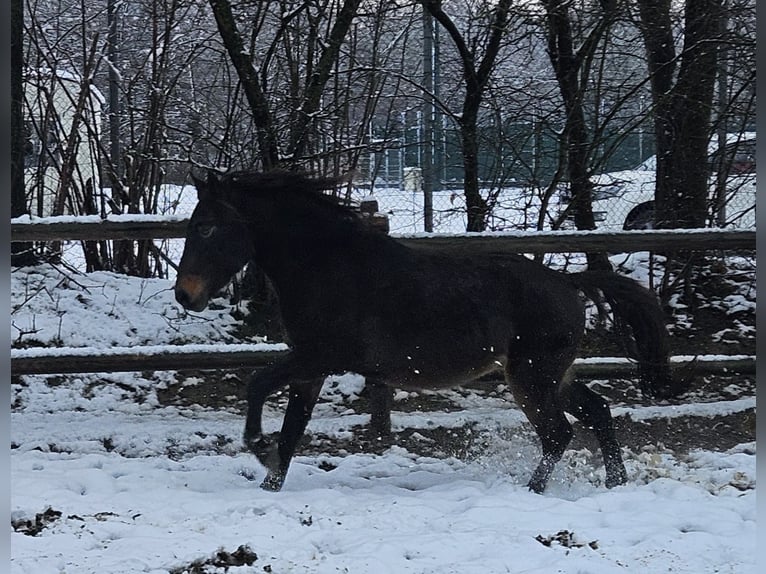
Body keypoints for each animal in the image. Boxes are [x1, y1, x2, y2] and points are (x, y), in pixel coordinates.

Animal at [174, 171, 684, 496]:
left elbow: (258, 385)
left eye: (206, 227)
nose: (185, 295)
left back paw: (533, 491)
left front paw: (260, 452)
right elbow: (293, 427)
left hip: (532, 377)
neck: (328, 267)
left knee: (558, 433)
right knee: (598, 412)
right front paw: (271, 480)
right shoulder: (309, 366)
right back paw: (615, 484)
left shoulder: (318, 357)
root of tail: (569, 282)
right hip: (552, 375)